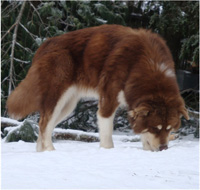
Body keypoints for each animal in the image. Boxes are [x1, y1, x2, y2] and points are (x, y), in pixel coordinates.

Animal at [6, 24, 189, 151]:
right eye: (156, 128)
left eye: (170, 129)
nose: (164, 148)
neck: (146, 63)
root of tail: (44, 45)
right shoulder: (108, 100)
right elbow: (107, 134)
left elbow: (143, 133)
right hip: (57, 99)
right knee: (44, 124)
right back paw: (50, 150)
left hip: (67, 106)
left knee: (45, 125)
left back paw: (43, 152)